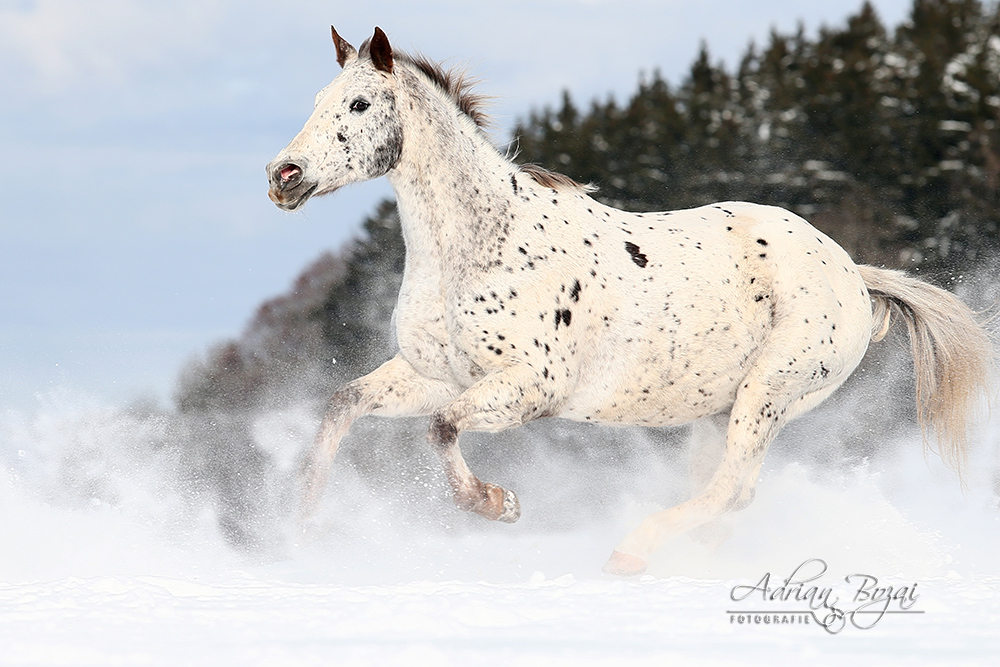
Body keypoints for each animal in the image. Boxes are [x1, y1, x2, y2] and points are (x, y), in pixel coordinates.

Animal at [266, 28, 992, 576]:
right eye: (320, 98)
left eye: (361, 104)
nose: (283, 176)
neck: (481, 244)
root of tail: (852, 273)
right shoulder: (439, 374)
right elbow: (344, 405)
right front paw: (304, 526)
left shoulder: (532, 386)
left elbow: (442, 428)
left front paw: (498, 505)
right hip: (724, 408)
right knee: (731, 495)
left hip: (768, 394)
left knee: (728, 488)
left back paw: (631, 553)